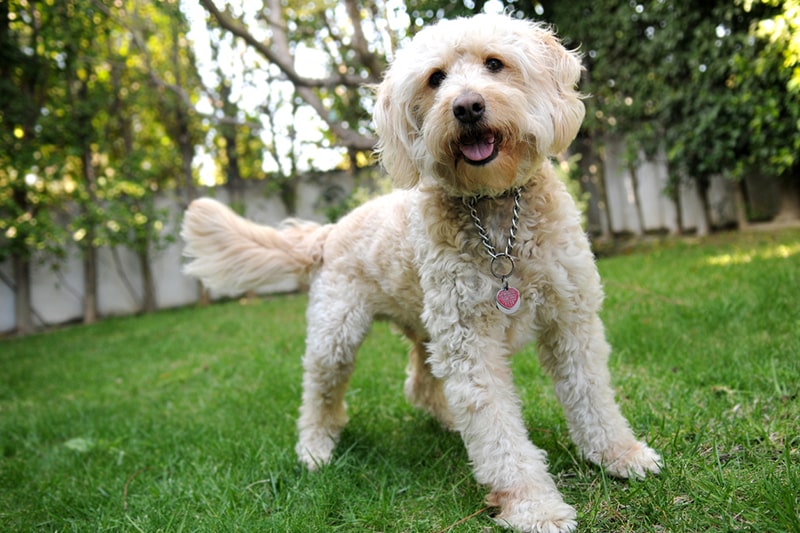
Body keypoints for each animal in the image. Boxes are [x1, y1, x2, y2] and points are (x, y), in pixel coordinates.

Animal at [183, 12, 664, 532]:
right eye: (436, 79)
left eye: (495, 64)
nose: (467, 106)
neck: (496, 218)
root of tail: (329, 232)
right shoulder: (470, 345)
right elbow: (499, 433)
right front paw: (533, 505)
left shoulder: (570, 319)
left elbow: (592, 396)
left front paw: (619, 454)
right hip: (338, 335)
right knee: (319, 392)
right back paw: (315, 448)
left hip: (426, 328)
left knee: (418, 382)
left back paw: (448, 420)